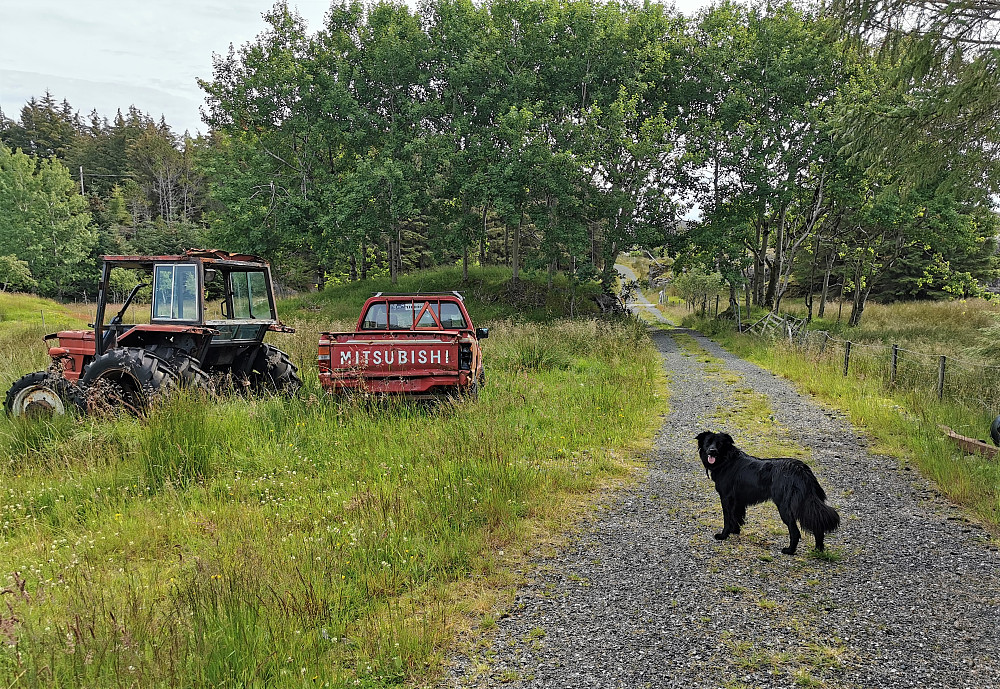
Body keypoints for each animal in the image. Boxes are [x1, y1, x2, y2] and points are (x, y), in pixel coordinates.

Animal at [700, 432, 840, 556]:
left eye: (719, 444)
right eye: (708, 442)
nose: (712, 451)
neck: (727, 460)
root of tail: (801, 470)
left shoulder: (726, 497)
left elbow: (728, 518)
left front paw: (723, 535)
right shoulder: (738, 500)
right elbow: (737, 517)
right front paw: (735, 531)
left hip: (786, 506)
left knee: (795, 532)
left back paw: (790, 551)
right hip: (806, 503)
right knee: (817, 524)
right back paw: (818, 550)